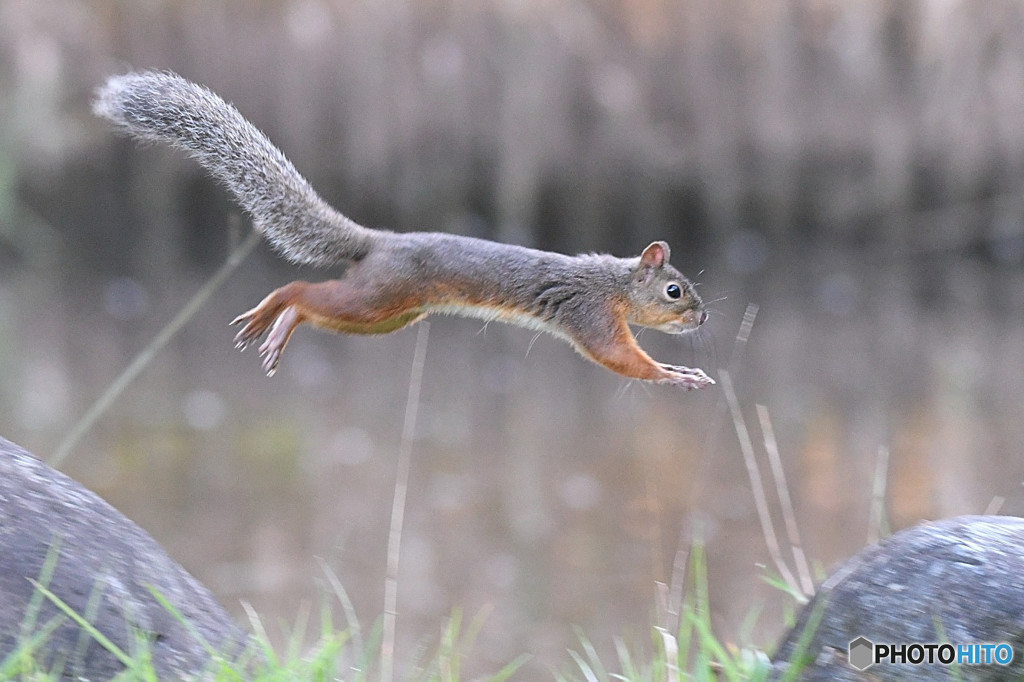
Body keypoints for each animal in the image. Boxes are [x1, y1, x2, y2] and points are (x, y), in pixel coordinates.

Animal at [96, 72, 712, 391]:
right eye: (675, 290)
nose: (704, 318)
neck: (613, 283)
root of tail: (376, 242)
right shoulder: (591, 317)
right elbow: (619, 357)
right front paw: (674, 373)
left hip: (387, 317)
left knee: (315, 305)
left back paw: (279, 326)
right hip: (375, 300)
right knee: (303, 292)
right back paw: (273, 313)